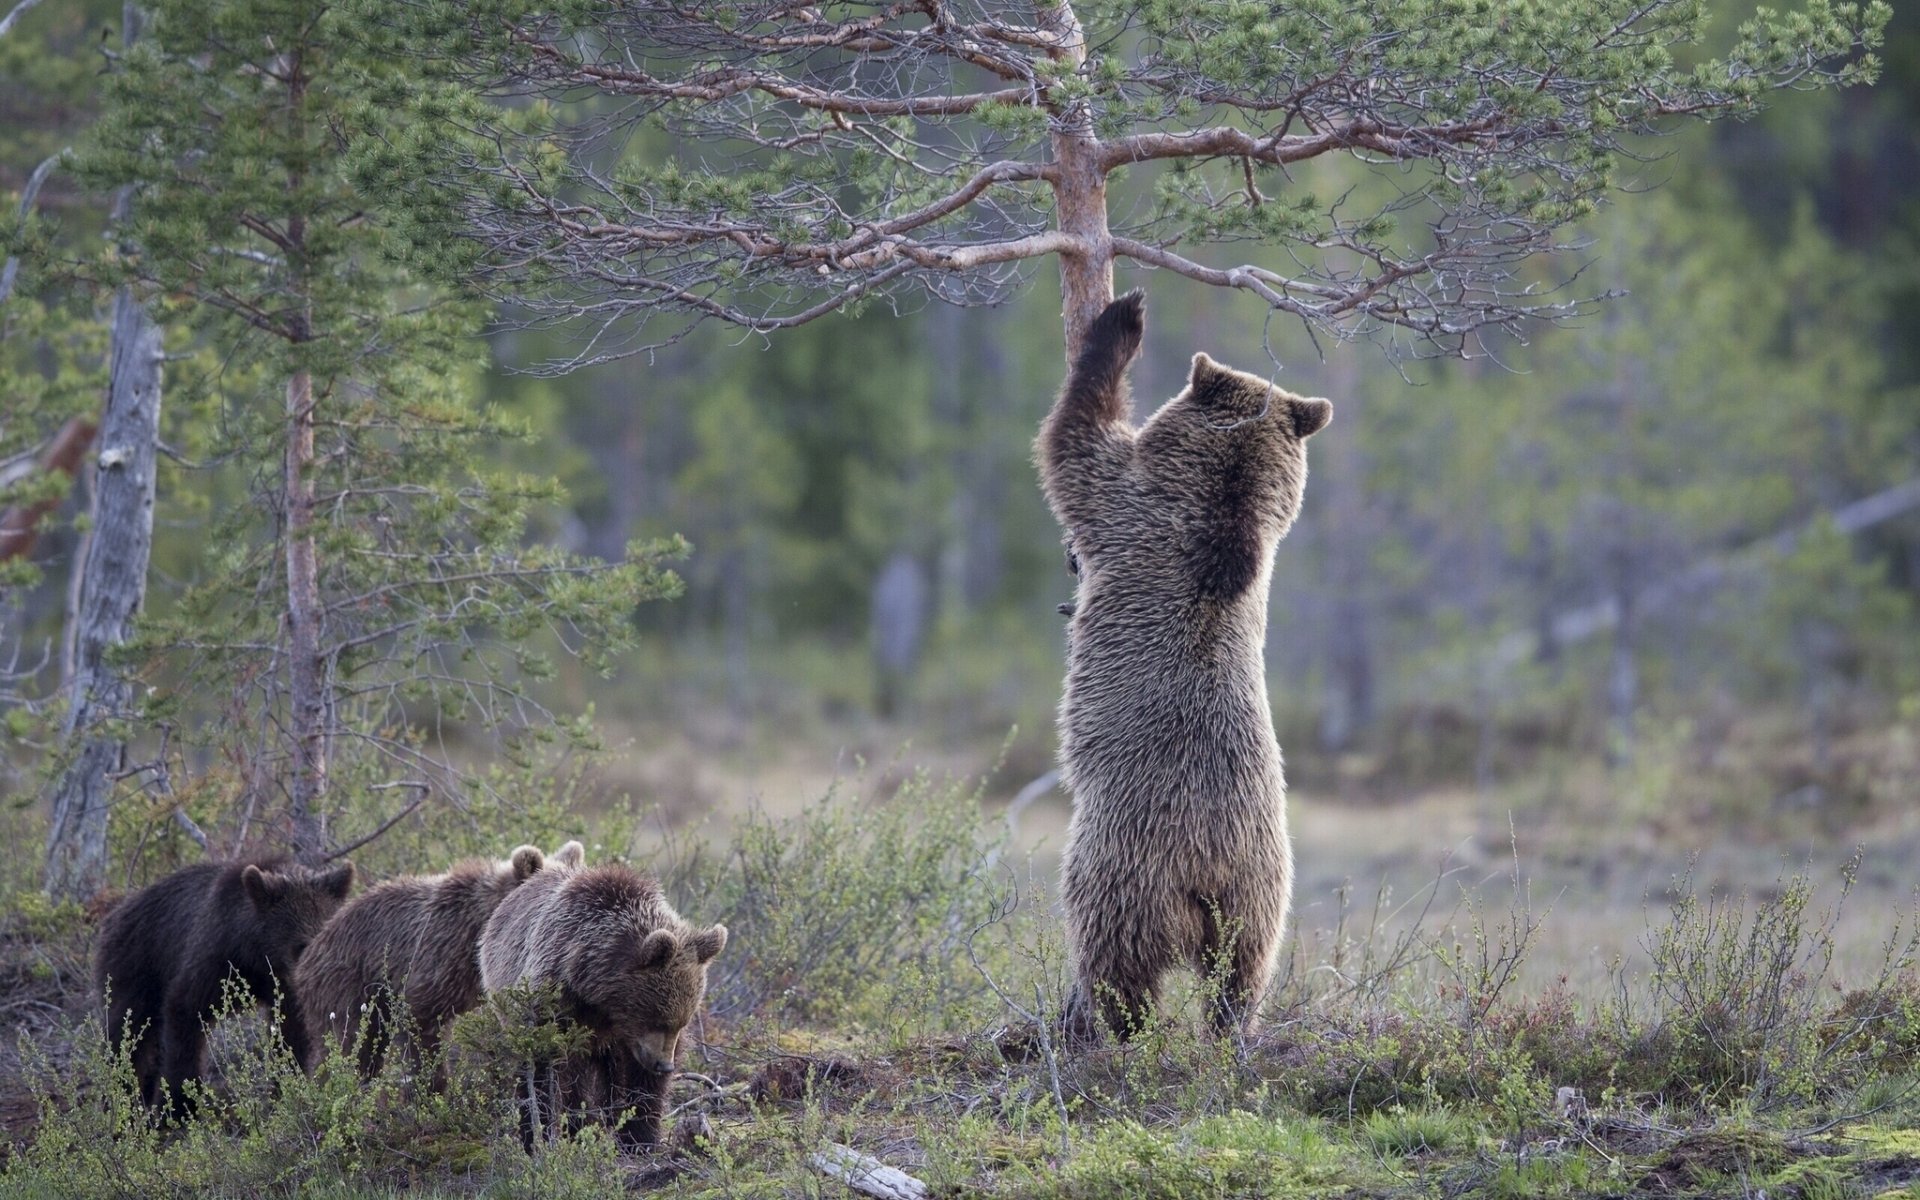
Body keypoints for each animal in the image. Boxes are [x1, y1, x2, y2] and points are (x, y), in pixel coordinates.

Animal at [93, 856, 356, 1117]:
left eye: (326, 936)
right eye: (300, 944)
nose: (317, 978)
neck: (254, 955)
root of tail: (115, 913)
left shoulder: (282, 987)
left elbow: (291, 1034)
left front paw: (287, 1090)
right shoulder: (213, 959)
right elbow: (184, 1015)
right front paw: (179, 1106)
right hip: (134, 966)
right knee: (126, 1034)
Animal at [478, 863, 726, 1150]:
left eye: (682, 1022)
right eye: (657, 1018)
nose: (665, 1065)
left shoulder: (627, 1038)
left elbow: (640, 1081)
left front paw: (639, 1136)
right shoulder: (556, 1002)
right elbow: (546, 1067)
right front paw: (543, 1131)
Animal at [1035, 289, 1331, 1040]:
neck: (1223, 508)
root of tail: (1209, 866)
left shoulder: (1125, 506)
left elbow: (1073, 440)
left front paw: (1122, 321)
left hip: (1125, 864)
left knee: (1115, 950)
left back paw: (1116, 1023)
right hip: (1264, 883)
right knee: (1245, 967)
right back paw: (1233, 1025)